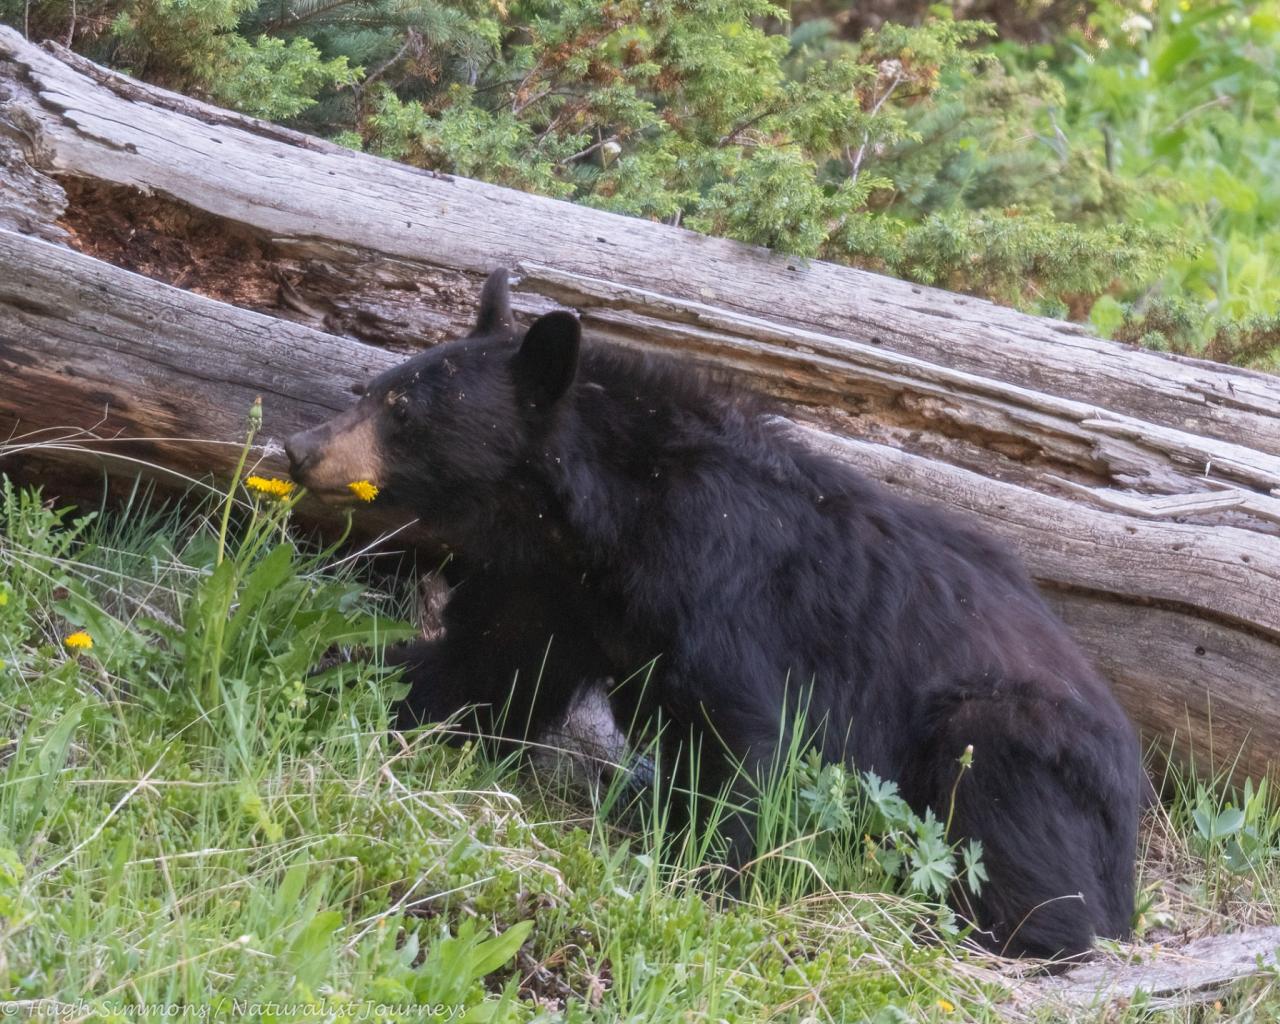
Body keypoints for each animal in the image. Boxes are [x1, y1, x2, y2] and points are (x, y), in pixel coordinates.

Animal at [288, 267, 1141, 957]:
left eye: (403, 410)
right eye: (372, 389)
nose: (300, 448)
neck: (603, 524)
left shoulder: (726, 590)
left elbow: (750, 742)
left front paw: (704, 877)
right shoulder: (550, 588)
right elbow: (480, 669)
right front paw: (330, 682)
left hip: (1018, 745)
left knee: (1020, 848)